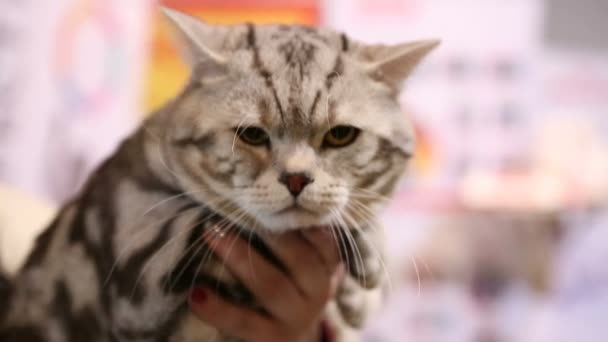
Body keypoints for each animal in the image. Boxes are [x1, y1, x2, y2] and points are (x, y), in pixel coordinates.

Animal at [0, 6, 436, 340]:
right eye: (252, 135)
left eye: (341, 135)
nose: (296, 179)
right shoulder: (138, 259)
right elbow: (228, 220)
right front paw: (364, 263)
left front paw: (362, 287)